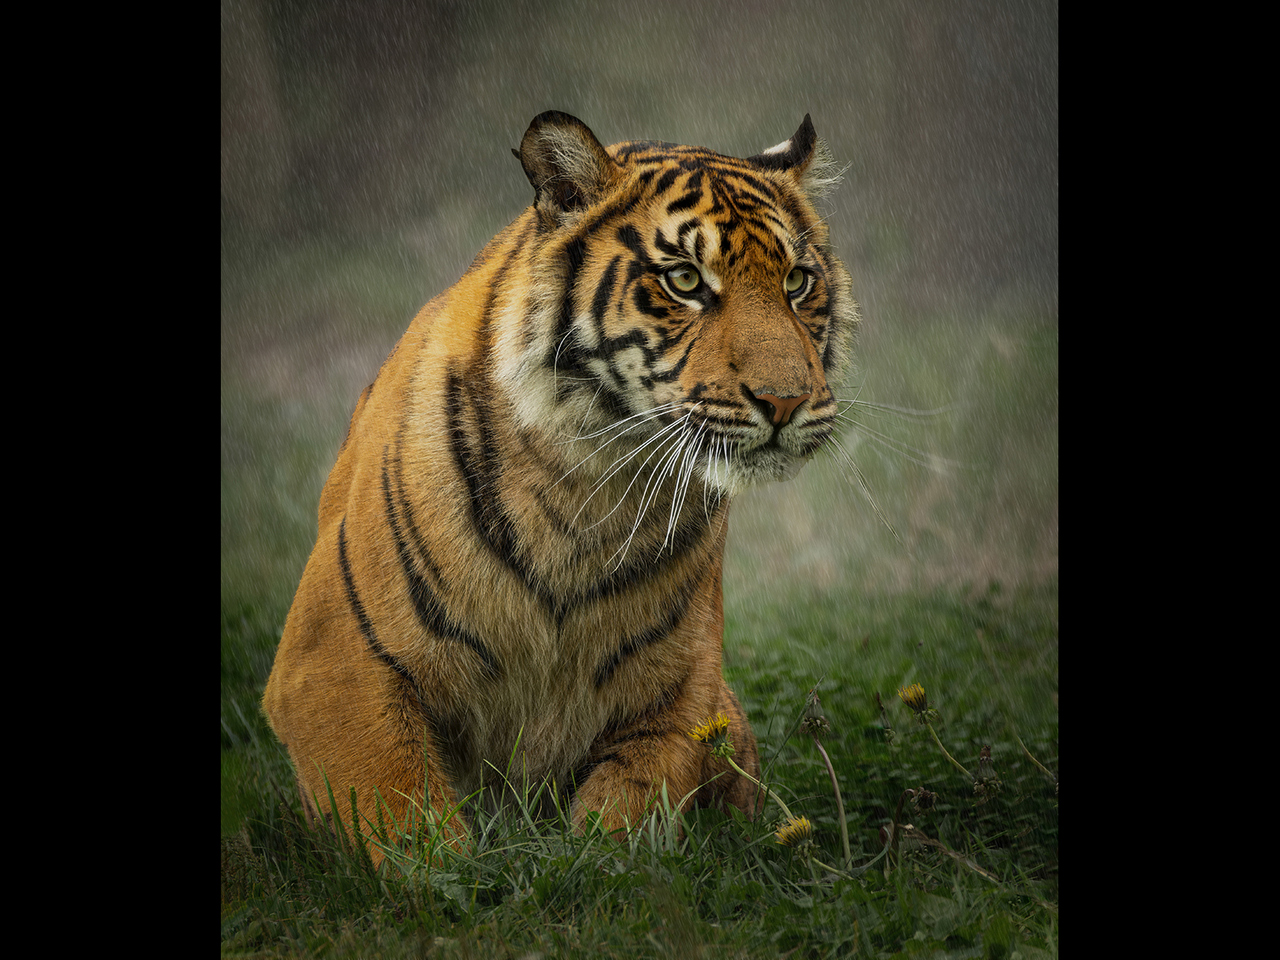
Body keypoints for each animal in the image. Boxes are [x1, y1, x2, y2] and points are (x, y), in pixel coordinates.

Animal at [262, 110, 859, 862]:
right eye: (685, 280)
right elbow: (407, 824)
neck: (593, 479)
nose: (786, 401)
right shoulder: (332, 667)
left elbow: (627, 820)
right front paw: (459, 877)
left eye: (798, 281)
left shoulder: (682, 695)